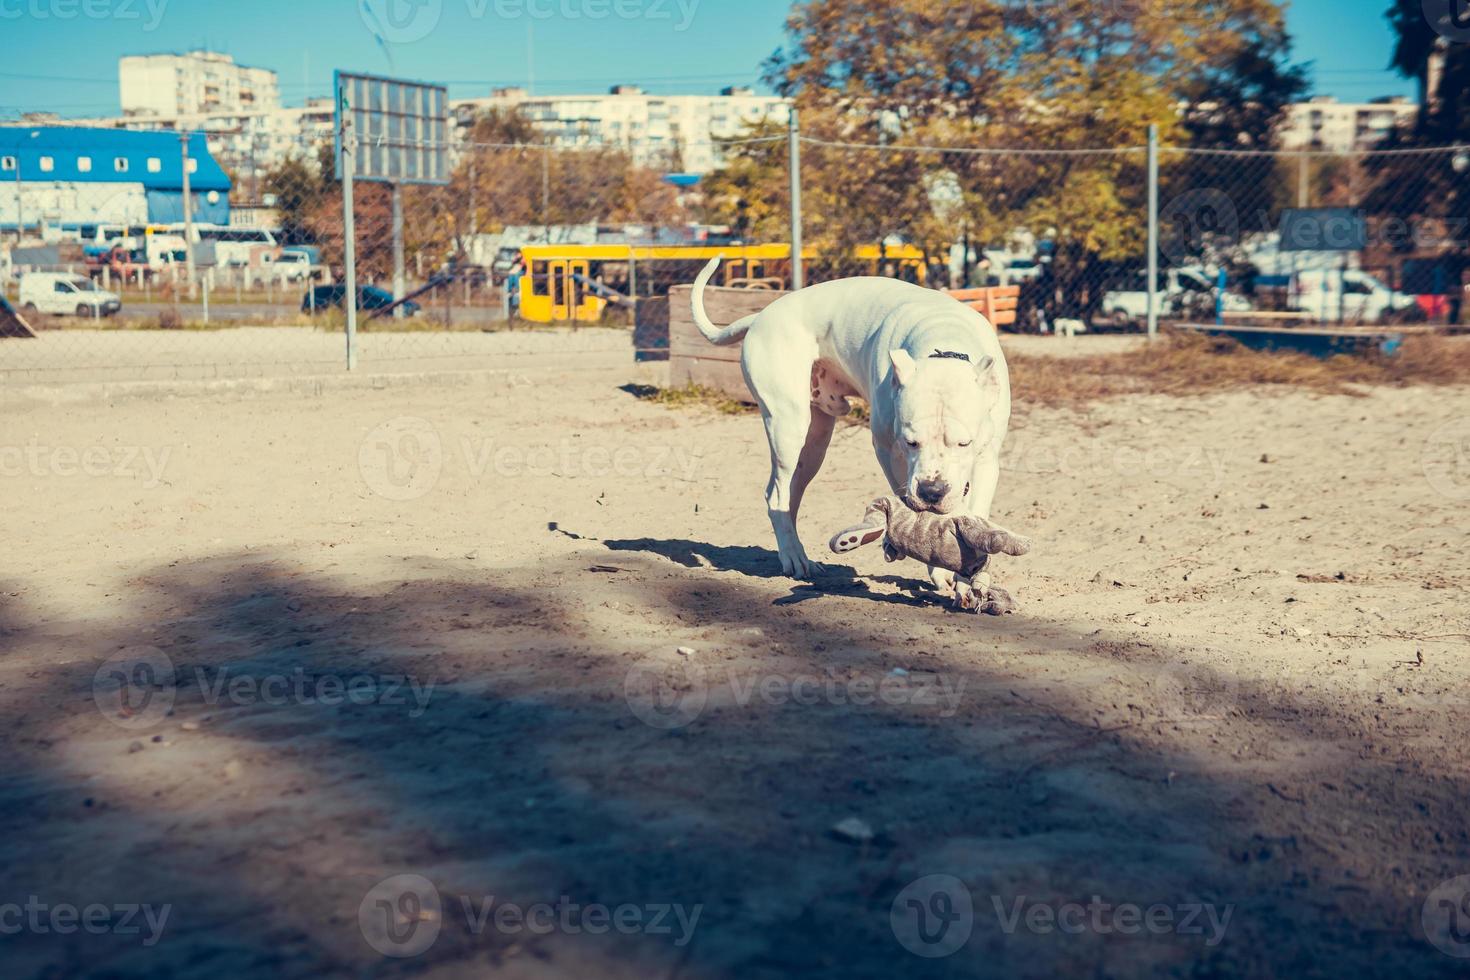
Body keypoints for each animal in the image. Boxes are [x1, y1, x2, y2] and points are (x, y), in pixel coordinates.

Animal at [685, 257, 1011, 608]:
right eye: (910, 442)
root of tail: (761, 316)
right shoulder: (889, 452)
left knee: (789, 497)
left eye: (964, 443)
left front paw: (967, 579)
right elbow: (923, 516)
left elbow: (972, 514)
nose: (932, 491)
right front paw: (939, 564)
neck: (943, 344)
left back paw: (798, 551)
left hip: (814, 444)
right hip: (788, 425)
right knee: (776, 493)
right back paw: (793, 557)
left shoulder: (987, 460)